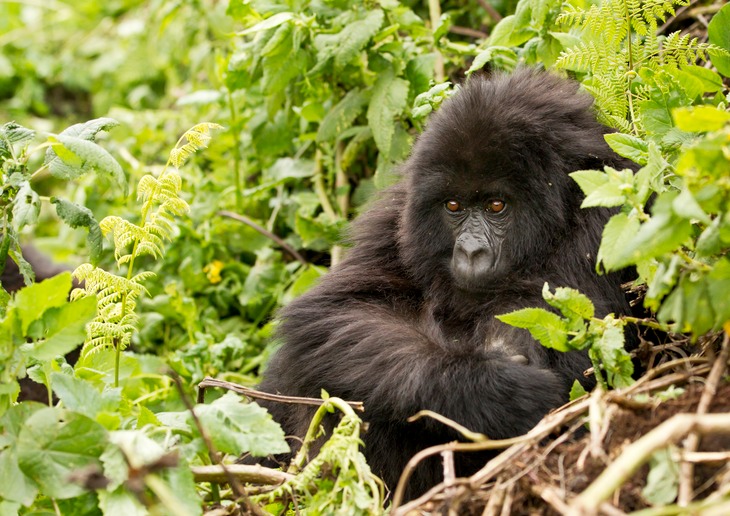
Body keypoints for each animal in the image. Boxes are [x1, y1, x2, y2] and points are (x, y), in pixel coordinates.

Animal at [256, 69, 632, 500]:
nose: (469, 252)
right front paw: (489, 390)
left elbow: (578, 359)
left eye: (496, 206)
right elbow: (332, 311)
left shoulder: (606, 214)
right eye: (453, 206)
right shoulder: (398, 212)